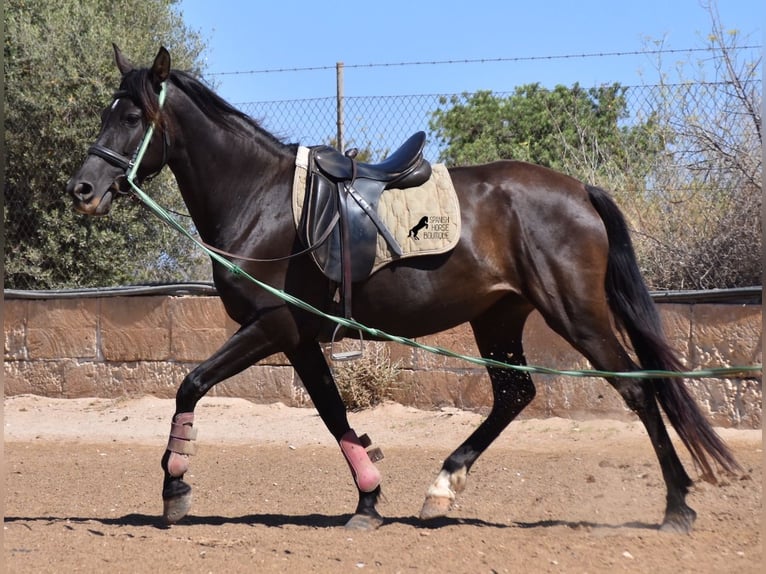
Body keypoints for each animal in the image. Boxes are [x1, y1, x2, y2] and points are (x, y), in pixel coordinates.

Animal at [67, 45, 744, 536]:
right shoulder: (301, 336)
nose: (82, 190)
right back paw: (442, 485)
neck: (261, 199)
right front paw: (368, 501)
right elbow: (334, 414)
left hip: (577, 314)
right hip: (498, 316)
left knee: (638, 390)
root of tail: (580, 190)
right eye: (106, 113)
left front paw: (175, 486)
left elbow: (191, 383)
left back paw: (677, 505)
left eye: (132, 116)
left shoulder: (272, 326)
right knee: (515, 394)